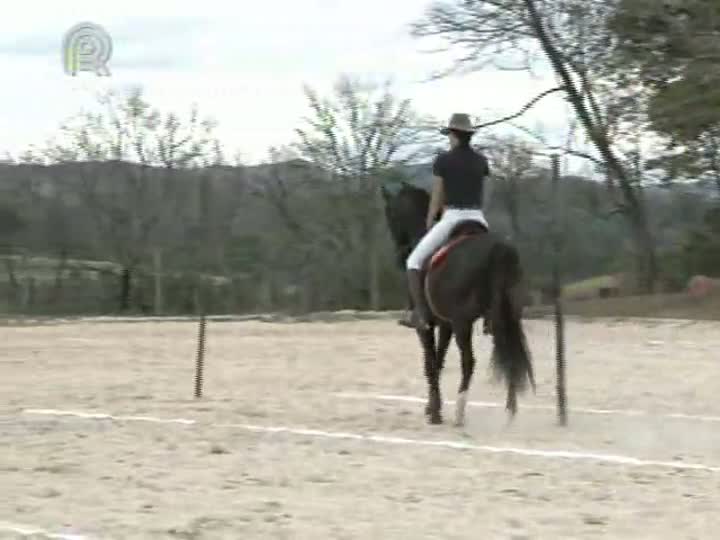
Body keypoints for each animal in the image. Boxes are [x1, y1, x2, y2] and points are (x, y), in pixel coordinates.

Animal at [382, 181, 536, 426]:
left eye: (391, 214)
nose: (399, 255)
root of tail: (499, 250)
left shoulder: (427, 326)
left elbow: (430, 362)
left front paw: (435, 412)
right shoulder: (446, 323)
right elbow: (439, 360)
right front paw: (432, 407)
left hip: (464, 323)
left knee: (469, 361)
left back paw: (460, 412)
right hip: (506, 315)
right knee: (511, 353)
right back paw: (510, 411)